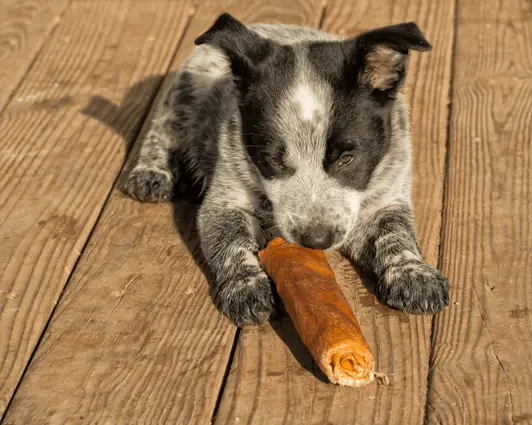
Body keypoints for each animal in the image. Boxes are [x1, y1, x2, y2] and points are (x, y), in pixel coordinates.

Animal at [123, 13, 448, 324]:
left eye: (347, 158)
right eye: (273, 160)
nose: (316, 241)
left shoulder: (388, 197)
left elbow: (396, 233)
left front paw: (413, 272)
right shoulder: (223, 202)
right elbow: (231, 243)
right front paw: (247, 286)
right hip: (187, 90)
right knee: (164, 125)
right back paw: (152, 173)